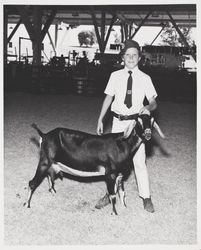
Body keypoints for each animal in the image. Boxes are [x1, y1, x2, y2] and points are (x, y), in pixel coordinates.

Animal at [24, 115, 165, 215]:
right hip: (44, 161)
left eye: (152, 121)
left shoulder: (120, 174)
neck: (123, 144)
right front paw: (114, 213)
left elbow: (122, 192)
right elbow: (112, 194)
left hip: (51, 163)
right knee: (32, 183)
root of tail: (44, 135)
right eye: (138, 121)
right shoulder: (110, 174)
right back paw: (26, 205)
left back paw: (52, 191)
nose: (148, 134)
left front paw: (124, 207)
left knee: (49, 175)